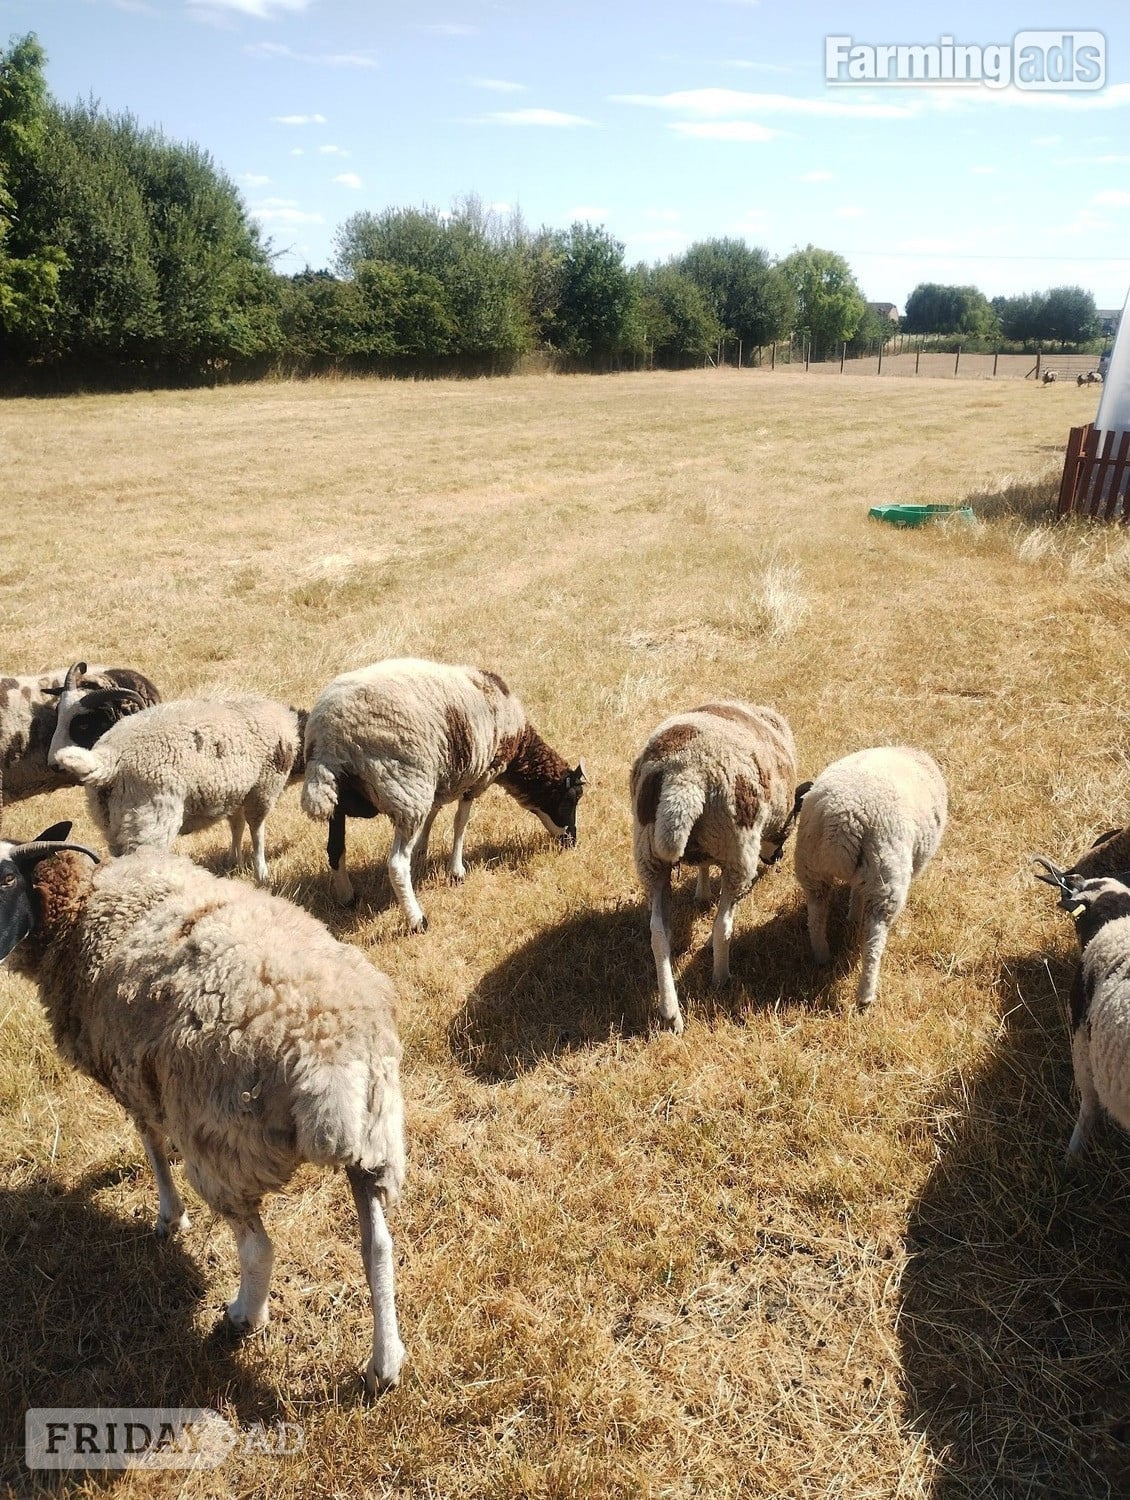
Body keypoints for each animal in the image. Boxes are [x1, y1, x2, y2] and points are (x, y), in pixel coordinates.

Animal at [0, 823, 407, 1394]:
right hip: (375, 1138)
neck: (81, 908)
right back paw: (384, 1364)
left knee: (258, 1248)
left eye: (5, 880)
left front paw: (170, 1217)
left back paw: (243, 1317)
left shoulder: (132, 1074)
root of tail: (328, 1055)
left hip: (224, 1146)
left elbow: (151, 1146)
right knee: (378, 1247)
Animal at [48, 671, 306, 883]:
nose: (51, 764)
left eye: (81, 724)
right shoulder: (263, 788)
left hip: (112, 825)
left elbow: (236, 825)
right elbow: (257, 830)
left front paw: (234, 862)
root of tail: (107, 758)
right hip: (151, 822)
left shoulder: (238, 791)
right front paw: (261, 873)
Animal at [301, 658, 585, 932]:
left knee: (335, 849)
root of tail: (329, 741)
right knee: (396, 864)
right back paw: (417, 920)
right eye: (572, 799)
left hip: (342, 800)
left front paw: (423, 848)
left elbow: (434, 814)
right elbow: (460, 823)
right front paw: (456, 871)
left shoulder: (441, 779)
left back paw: (347, 898)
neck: (518, 747)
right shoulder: (477, 776)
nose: (573, 842)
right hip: (406, 791)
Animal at [630, 701, 803, 1035]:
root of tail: (683, 777)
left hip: (650, 856)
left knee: (658, 932)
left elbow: (703, 867)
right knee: (723, 925)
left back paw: (670, 1012)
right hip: (738, 848)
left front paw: (701, 891)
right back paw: (721, 978)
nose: (776, 859)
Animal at [793, 746, 947, 1008]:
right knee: (874, 942)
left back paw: (822, 955)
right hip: (886, 875)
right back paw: (866, 994)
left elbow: (855, 892)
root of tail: (842, 817)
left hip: (811, 867)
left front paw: (853, 915)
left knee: (816, 917)